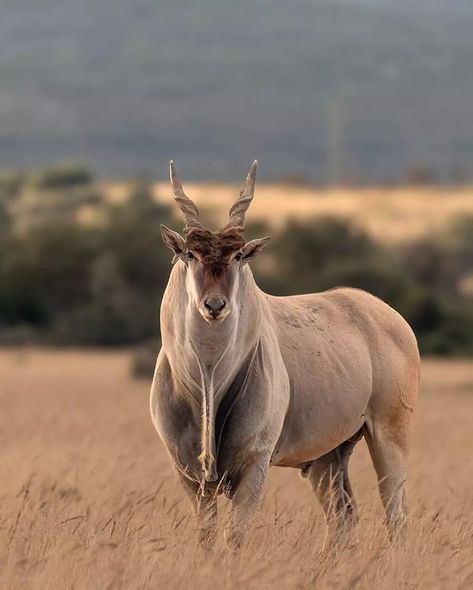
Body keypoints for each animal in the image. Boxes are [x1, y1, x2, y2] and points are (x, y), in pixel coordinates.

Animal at [149, 162, 418, 552]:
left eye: (238, 256)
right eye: (189, 254)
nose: (214, 306)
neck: (208, 381)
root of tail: (392, 317)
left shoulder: (255, 466)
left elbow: (235, 538)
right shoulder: (187, 474)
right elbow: (207, 537)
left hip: (389, 433)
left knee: (395, 513)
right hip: (326, 459)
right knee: (343, 518)